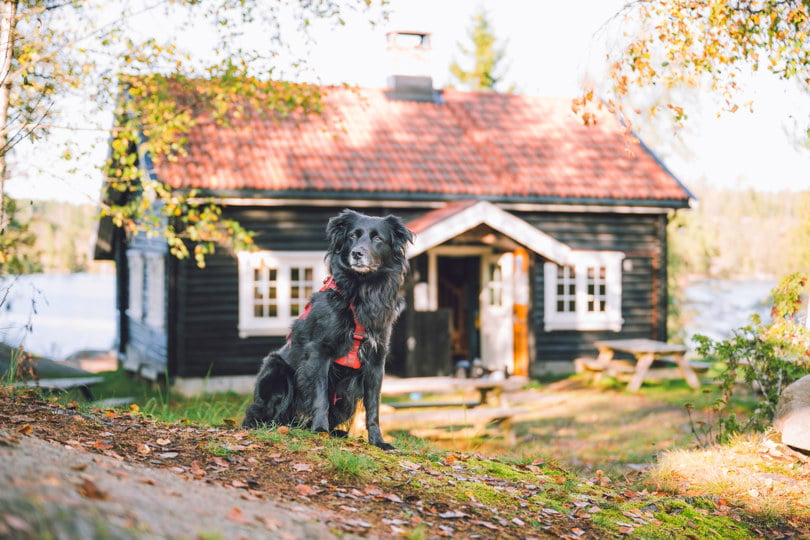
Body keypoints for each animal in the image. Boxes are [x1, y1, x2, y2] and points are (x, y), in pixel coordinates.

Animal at [241, 209, 414, 450]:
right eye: (352, 236)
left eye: (378, 238)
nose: (357, 253)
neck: (360, 291)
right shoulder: (320, 352)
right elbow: (321, 397)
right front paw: (320, 430)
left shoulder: (376, 360)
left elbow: (373, 407)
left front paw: (378, 441)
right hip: (276, 370)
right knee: (264, 417)